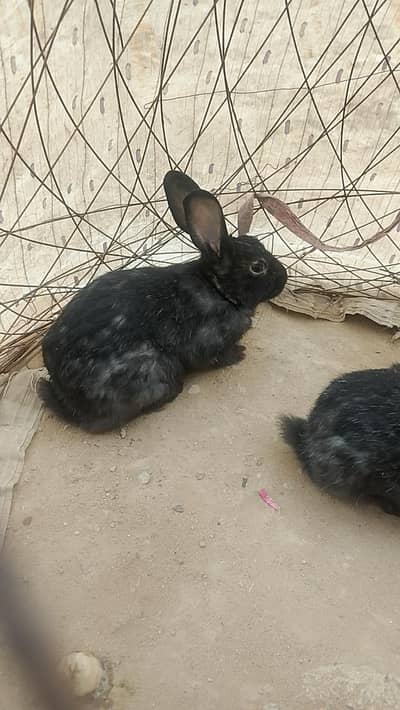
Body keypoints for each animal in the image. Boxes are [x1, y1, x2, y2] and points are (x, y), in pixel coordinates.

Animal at [38, 170, 287, 433]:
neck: (217, 288)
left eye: (257, 241)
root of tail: (68, 403)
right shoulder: (207, 342)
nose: (284, 277)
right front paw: (239, 354)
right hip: (155, 367)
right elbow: (212, 358)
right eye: (257, 267)